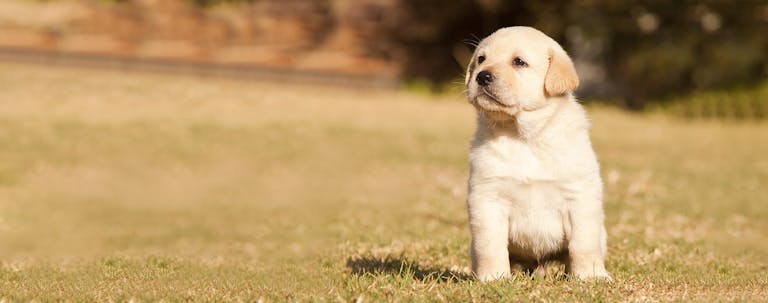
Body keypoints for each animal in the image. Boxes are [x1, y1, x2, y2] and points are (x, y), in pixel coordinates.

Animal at [464, 26, 608, 282]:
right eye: (481, 59)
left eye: (519, 62)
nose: (482, 76)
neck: (524, 136)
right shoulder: (487, 198)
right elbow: (490, 246)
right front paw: (493, 278)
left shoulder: (580, 197)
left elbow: (583, 244)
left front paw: (590, 276)